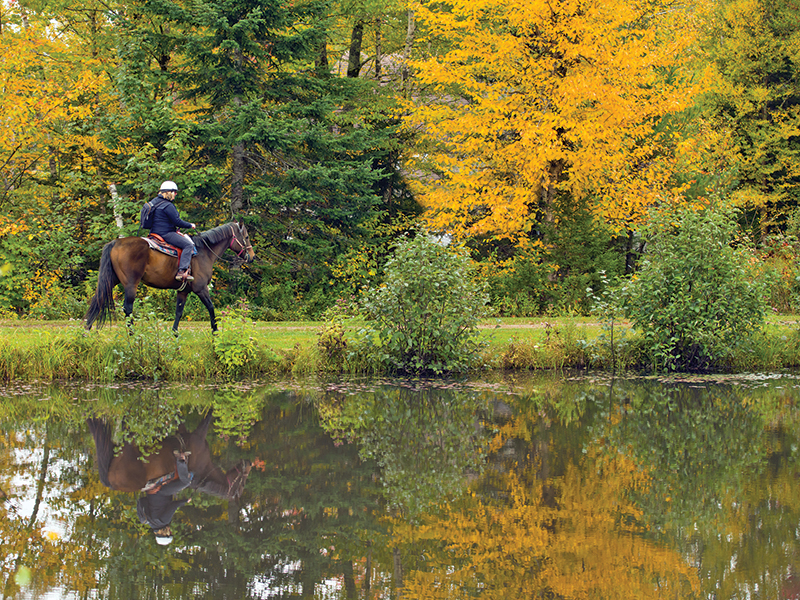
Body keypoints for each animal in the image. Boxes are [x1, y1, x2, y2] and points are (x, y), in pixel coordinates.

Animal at [84, 222, 255, 333]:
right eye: (246, 237)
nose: (252, 256)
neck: (204, 252)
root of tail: (116, 242)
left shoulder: (183, 291)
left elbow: (178, 312)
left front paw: (174, 334)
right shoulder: (201, 288)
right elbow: (211, 308)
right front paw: (215, 332)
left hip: (111, 280)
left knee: (98, 299)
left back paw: (86, 329)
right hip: (131, 284)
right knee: (128, 308)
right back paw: (132, 334)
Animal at [86, 411, 251, 500]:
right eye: (242, 484)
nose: (249, 463)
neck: (202, 473)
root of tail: (110, 482)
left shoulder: (183, 429)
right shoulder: (199, 434)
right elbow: (209, 414)